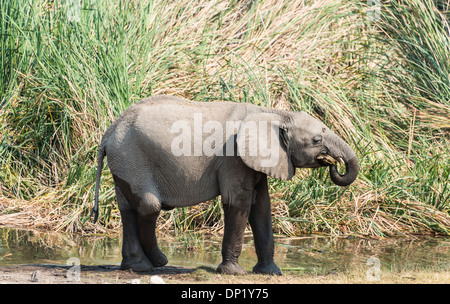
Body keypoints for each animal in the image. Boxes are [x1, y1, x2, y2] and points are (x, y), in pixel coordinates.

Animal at [91, 95, 358, 276]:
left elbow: (262, 207)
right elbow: (238, 203)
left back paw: (138, 266)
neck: (273, 113)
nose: (333, 163)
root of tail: (107, 134)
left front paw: (271, 273)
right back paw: (158, 262)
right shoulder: (233, 157)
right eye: (316, 140)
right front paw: (234, 273)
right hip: (131, 159)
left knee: (128, 208)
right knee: (149, 206)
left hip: (124, 163)